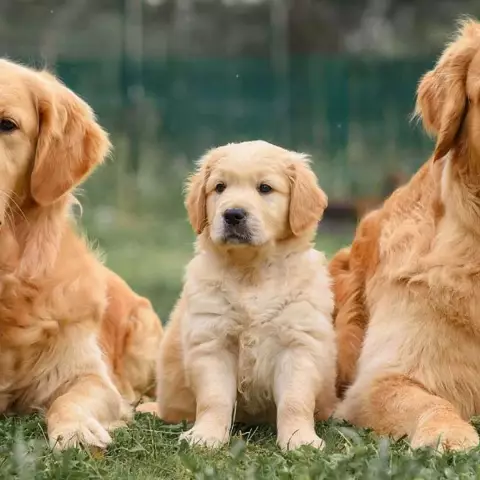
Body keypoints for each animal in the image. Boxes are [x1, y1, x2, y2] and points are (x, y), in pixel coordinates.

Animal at [152, 140, 336, 450]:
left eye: (265, 188)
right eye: (220, 187)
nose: (233, 214)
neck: (252, 272)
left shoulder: (298, 343)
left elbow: (295, 400)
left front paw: (300, 440)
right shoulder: (213, 341)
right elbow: (214, 399)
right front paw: (206, 436)